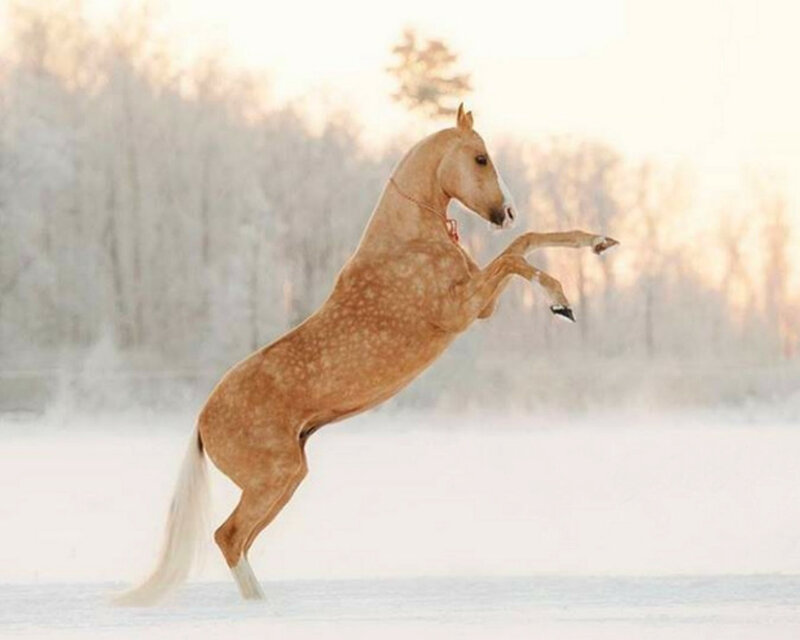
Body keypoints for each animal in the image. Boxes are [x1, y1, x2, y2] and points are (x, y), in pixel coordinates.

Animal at [116, 104, 618, 605]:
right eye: (480, 158)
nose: (508, 212)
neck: (407, 241)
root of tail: (201, 421)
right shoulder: (463, 308)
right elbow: (516, 254)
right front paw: (562, 303)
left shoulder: (482, 305)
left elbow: (527, 243)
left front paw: (598, 242)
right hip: (274, 477)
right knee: (229, 537)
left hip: (286, 480)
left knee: (238, 539)